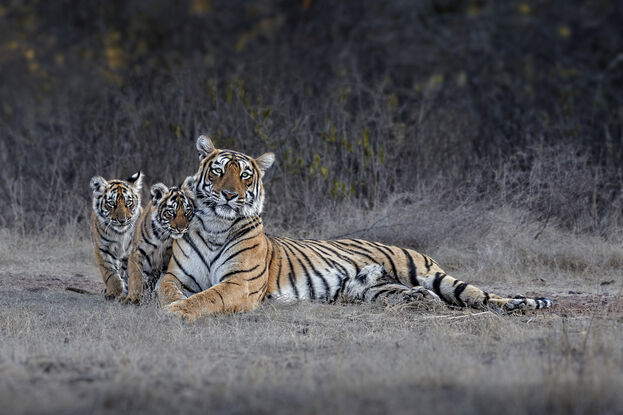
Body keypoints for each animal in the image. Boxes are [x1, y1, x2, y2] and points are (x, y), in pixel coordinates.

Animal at [90, 171, 144, 300]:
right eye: (111, 203)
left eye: (128, 202)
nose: (122, 220)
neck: (120, 234)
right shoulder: (103, 249)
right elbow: (109, 273)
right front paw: (113, 292)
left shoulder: (133, 250)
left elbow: (134, 271)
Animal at [158, 136, 552, 322]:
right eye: (218, 171)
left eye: (245, 176)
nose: (229, 194)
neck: (215, 226)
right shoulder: (177, 274)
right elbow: (168, 289)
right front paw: (171, 305)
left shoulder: (239, 284)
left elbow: (208, 297)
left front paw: (176, 312)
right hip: (375, 290)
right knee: (418, 296)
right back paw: (420, 300)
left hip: (432, 274)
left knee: (478, 295)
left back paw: (519, 304)